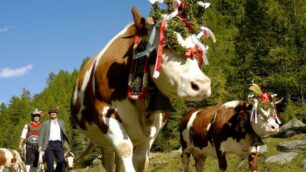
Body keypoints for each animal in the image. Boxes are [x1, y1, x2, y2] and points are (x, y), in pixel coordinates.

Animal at [71, 3, 215, 172]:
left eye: (198, 50)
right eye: (166, 45)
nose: (203, 85)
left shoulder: (154, 126)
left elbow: (140, 159)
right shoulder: (104, 113)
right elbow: (124, 147)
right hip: (104, 142)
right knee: (109, 160)